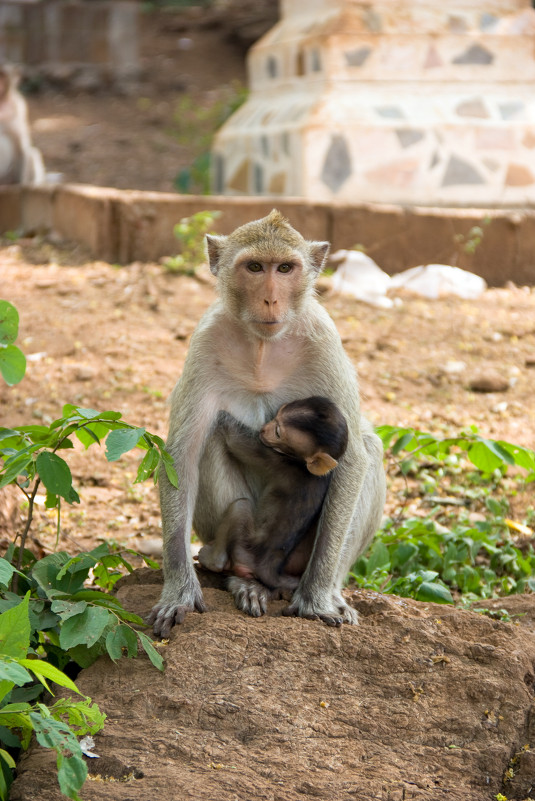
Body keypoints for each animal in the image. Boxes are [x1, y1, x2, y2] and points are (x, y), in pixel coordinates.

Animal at [199, 396, 350, 596]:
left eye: (278, 432)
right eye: (280, 412)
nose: (264, 429)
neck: (303, 465)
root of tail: (268, 569)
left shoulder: (276, 460)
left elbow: (233, 439)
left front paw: (219, 412)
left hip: (244, 551)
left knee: (240, 507)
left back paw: (212, 560)